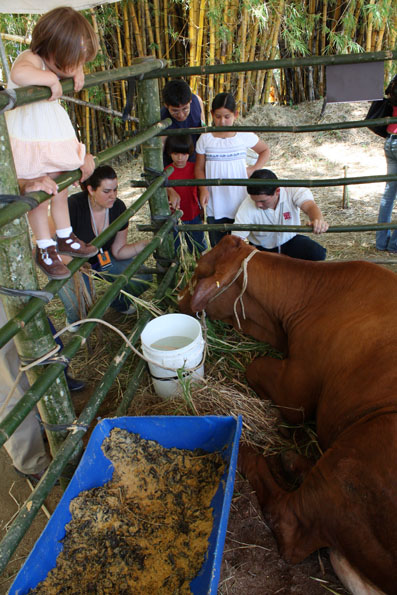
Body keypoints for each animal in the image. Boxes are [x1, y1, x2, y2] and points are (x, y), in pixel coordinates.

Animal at [178, 235, 396, 592]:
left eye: (198, 271)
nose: (178, 298)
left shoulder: (296, 394)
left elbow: (253, 366)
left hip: (352, 460)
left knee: (286, 522)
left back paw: (247, 450)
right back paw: (291, 460)